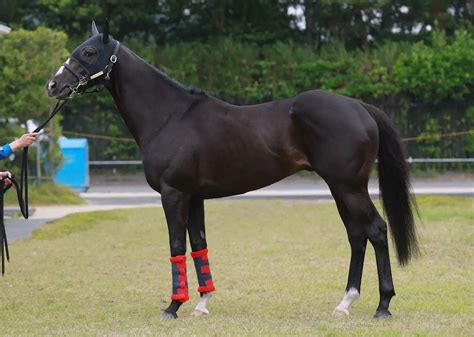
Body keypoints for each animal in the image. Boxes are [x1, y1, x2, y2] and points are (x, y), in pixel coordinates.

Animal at [47, 22, 418, 318]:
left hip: (349, 187)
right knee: (357, 236)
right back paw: (345, 303)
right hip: (340, 188)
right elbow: (198, 244)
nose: (53, 85)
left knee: (376, 230)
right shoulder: (194, 197)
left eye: (89, 51)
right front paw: (202, 304)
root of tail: (359, 106)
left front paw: (173, 306)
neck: (170, 116)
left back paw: (383, 305)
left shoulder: (173, 194)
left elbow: (176, 246)